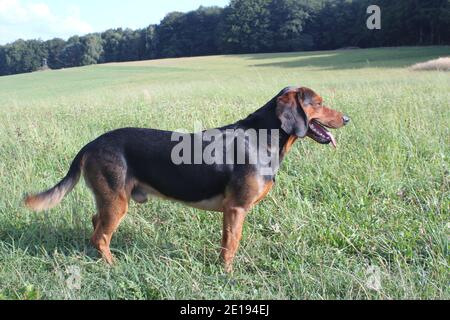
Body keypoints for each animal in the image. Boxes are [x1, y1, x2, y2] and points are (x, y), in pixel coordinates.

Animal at [23, 86, 348, 272]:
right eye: (319, 103)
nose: (347, 119)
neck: (263, 137)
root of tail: (90, 145)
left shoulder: (231, 211)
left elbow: (227, 243)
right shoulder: (236, 209)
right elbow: (231, 245)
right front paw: (227, 275)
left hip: (111, 199)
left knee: (96, 225)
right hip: (117, 202)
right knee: (100, 235)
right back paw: (113, 266)